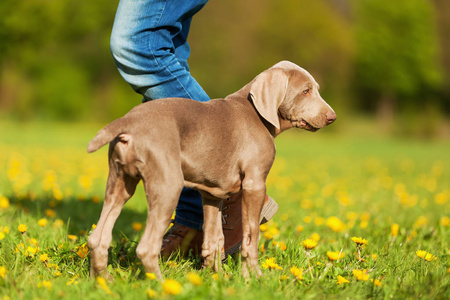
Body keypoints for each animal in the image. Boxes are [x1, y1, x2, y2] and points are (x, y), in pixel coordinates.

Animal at [86, 60, 336, 278]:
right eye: (305, 91)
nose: (332, 117)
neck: (255, 113)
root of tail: (128, 121)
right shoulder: (255, 183)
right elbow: (251, 235)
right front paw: (253, 277)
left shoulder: (212, 194)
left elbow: (214, 239)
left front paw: (215, 276)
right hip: (167, 185)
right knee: (146, 247)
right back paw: (160, 284)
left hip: (120, 181)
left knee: (97, 238)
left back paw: (103, 281)